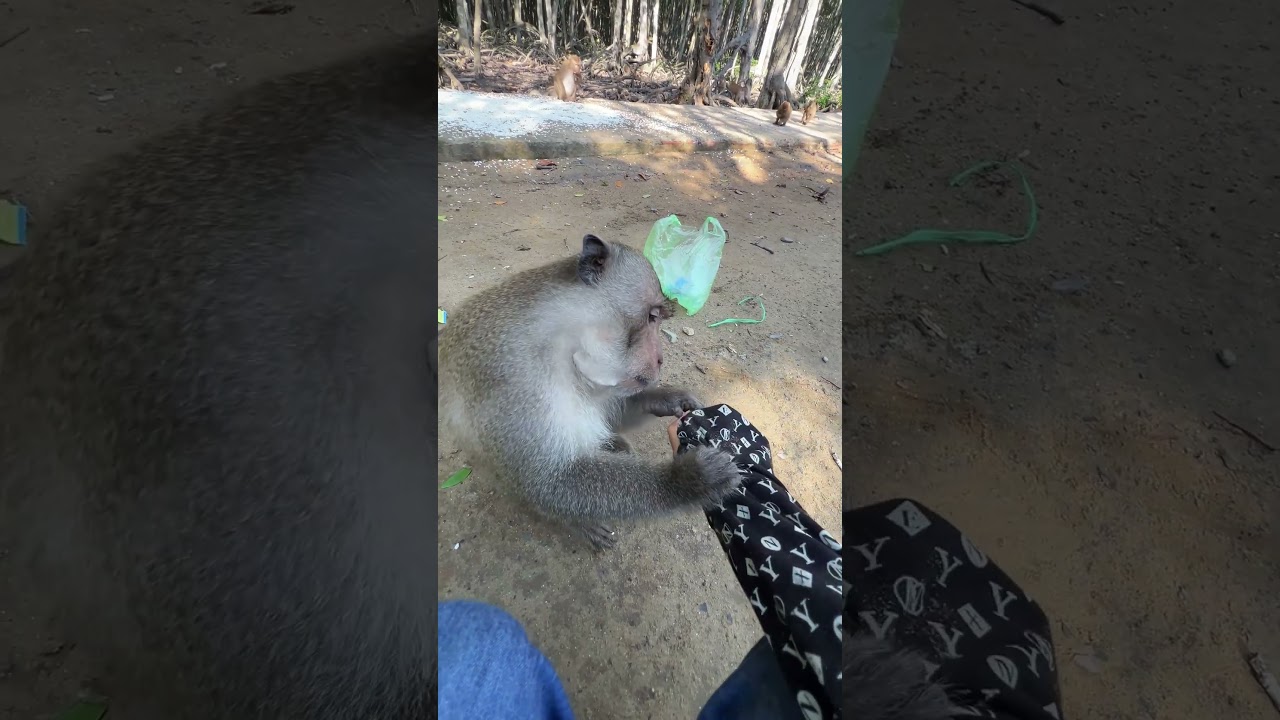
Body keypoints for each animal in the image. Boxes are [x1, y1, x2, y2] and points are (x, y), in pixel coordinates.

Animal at [437, 235, 743, 550]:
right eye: (652, 316)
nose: (660, 359)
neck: (564, 343)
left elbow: (611, 411)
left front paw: (664, 398)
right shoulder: (513, 379)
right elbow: (547, 482)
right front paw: (683, 482)